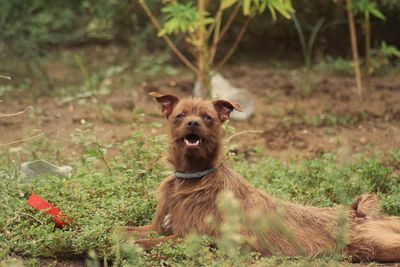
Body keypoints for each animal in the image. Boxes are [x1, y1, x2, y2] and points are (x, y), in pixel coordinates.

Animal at [122, 92, 400, 264]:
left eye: (207, 117)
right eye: (180, 115)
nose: (192, 123)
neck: (192, 177)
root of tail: (356, 212)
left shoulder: (191, 237)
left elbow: (144, 242)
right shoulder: (159, 226)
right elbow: (125, 230)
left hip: (375, 245)